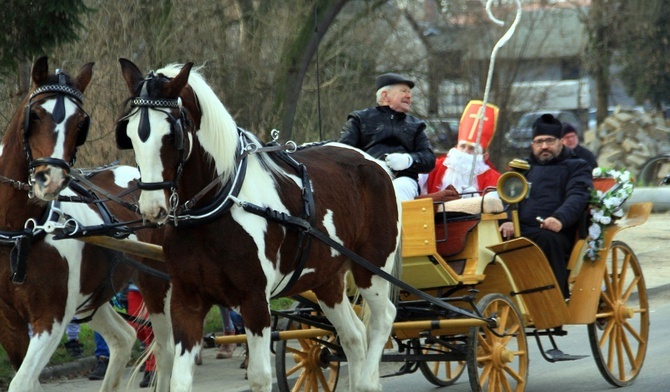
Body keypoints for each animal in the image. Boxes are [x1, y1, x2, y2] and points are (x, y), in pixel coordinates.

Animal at [0, 56, 173, 390]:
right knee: (123, 337)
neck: (20, 233)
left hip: (158, 284)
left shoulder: (51, 319)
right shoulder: (9, 324)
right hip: (95, 297)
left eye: (80, 123)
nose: (50, 179)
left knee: (166, 349)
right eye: (35, 115)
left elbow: (21, 383)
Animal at [115, 58, 402, 392]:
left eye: (171, 135)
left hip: (372, 267)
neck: (215, 209)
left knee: (383, 319)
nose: (152, 209)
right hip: (326, 278)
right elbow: (179, 379)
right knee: (354, 336)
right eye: (130, 135)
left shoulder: (255, 302)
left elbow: (260, 376)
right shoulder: (187, 300)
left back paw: (368, 380)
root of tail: (376, 163)